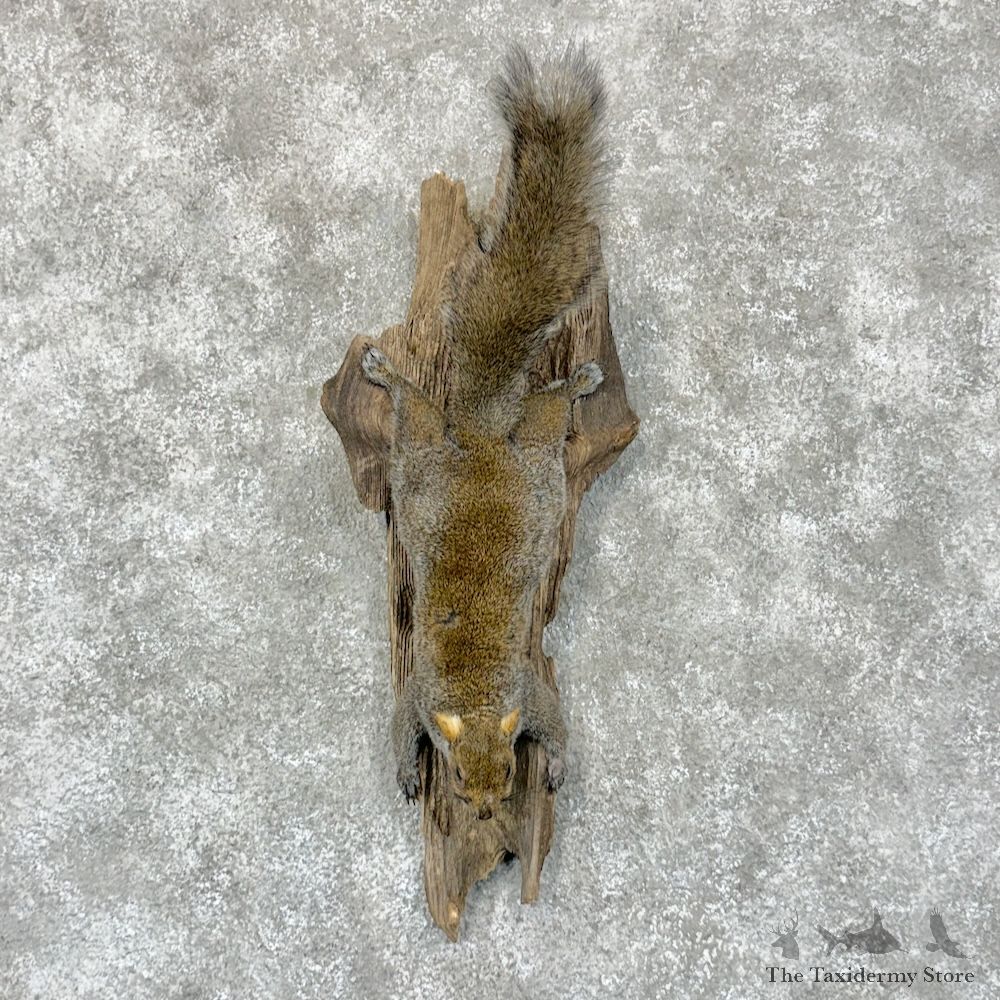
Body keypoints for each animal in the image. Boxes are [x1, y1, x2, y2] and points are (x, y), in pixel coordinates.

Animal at [361, 43, 607, 821]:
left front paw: (557, 762)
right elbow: (400, 724)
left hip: (533, 465)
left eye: (507, 771)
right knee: (421, 411)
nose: (487, 810)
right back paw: (388, 373)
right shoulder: (418, 693)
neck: (473, 696)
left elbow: (555, 722)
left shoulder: (530, 689)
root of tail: (478, 435)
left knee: (544, 413)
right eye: (458, 775)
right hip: (421, 469)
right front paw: (406, 772)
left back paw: (576, 382)